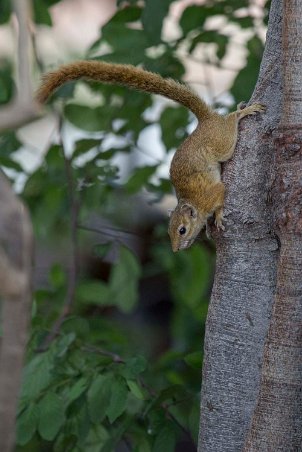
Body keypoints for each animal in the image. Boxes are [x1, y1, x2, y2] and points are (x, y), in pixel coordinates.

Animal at [36, 59, 266, 251]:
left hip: (222, 143)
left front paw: (217, 218)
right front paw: (209, 230)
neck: (192, 203)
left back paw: (242, 111)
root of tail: (205, 121)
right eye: (169, 232)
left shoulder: (212, 194)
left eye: (182, 230)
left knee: (231, 123)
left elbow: (220, 197)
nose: (176, 249)